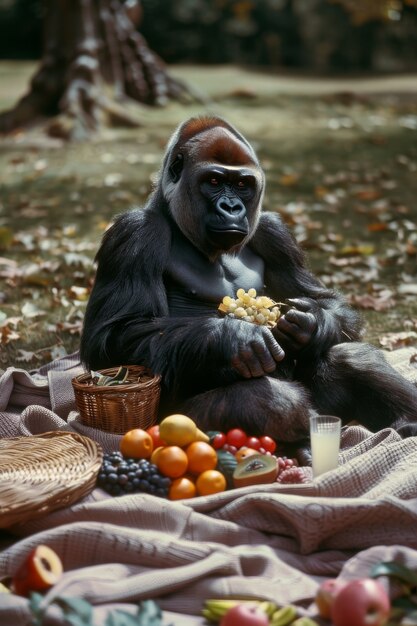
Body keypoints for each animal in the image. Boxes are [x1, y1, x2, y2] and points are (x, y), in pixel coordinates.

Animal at [79, 117, 414, 438]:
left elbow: (327, 302)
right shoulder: (134, 233)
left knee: (349, 354)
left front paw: (311, 323)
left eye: (242, 184)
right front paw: (233, 338)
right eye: (214, 181)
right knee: (266, 397)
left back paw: (405, 421)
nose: (231, 207)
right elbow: (114, 335)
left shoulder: (273, 231)